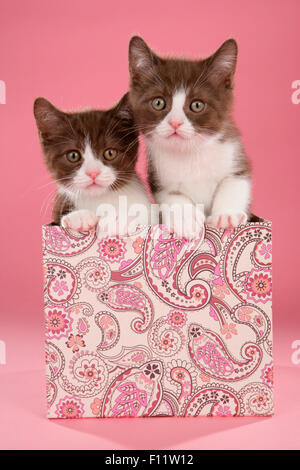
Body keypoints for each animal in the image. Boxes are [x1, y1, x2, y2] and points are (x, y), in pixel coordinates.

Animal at [33, 94, 150, 233]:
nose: (93, 173)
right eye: (73, 156)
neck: (100, 199)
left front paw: (119, 221)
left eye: (110, 153)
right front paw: (79, 217)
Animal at [127, 36, 252, 237]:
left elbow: (235, 181)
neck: (191, 152)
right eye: (158, 102)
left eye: (197, 105)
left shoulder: (234, 152)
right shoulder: (158, 178)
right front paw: (185, 218)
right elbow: (170, 195)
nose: (175, 123)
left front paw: (226, 215)